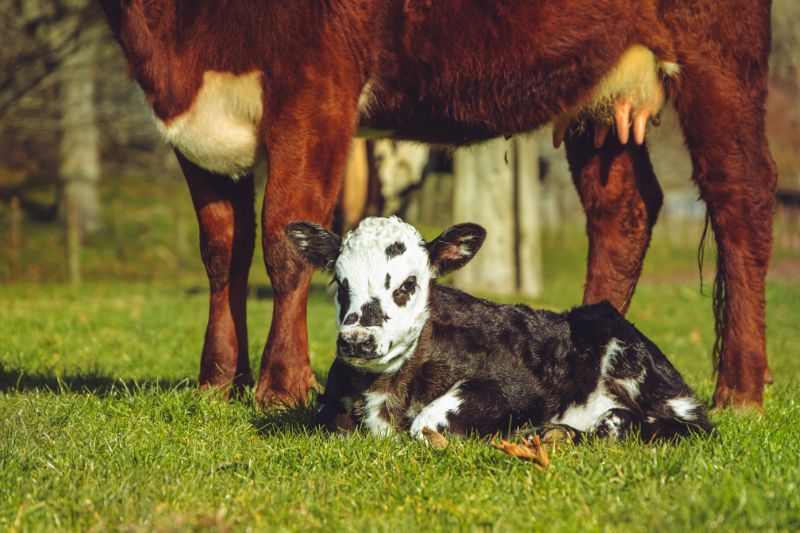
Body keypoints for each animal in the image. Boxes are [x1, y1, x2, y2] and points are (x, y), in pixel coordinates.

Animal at [97, 1, 776, 410]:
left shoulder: (316, 90)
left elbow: (282, 238)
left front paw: (281, 386)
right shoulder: (199, 130)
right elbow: (221, 251)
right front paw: (217, 381)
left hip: (720, 58)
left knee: (743, 200)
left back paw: (741, 389)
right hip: (602, 96)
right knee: (625, 208)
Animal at [285, 216, 713, 441]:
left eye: (407, 284)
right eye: (341, 283)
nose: (357, 340)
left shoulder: (520, 388)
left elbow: (426, 422)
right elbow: (333, 421)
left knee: (694, 425)